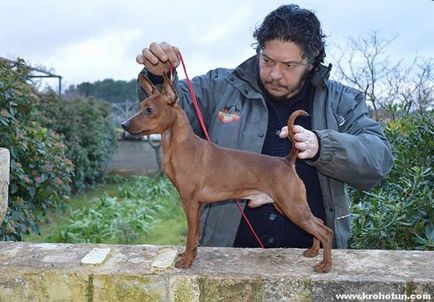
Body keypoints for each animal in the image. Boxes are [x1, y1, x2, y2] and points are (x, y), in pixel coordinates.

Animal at [120, 74, 334, 272]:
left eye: (149, 110)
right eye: (139, 107)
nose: (123, 125)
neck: (180, 145)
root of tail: (286, 161)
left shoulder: (190, 202)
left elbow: (189, 235)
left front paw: (186, 261)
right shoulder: (197, 204)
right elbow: (195, 235)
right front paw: (192, 255)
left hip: (292, 207)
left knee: (325, 231)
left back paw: (325, 265)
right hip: (287, 206)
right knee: (319, 222)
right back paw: (313, 252)